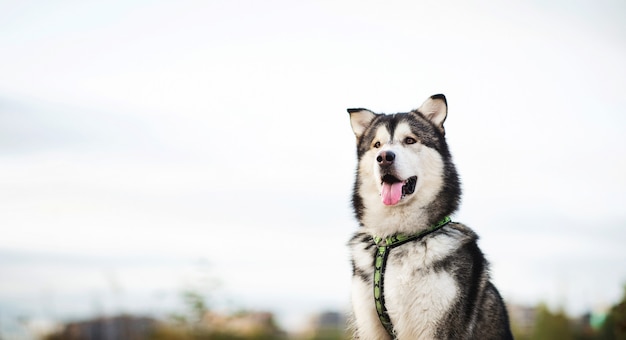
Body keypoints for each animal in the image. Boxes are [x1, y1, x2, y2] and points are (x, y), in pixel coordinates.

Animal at [346, 93, 512, 340]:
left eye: (410, 140)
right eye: (377, 145)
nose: (384, 157)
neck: (395, 240)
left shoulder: (435, 324)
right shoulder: (369, 325)